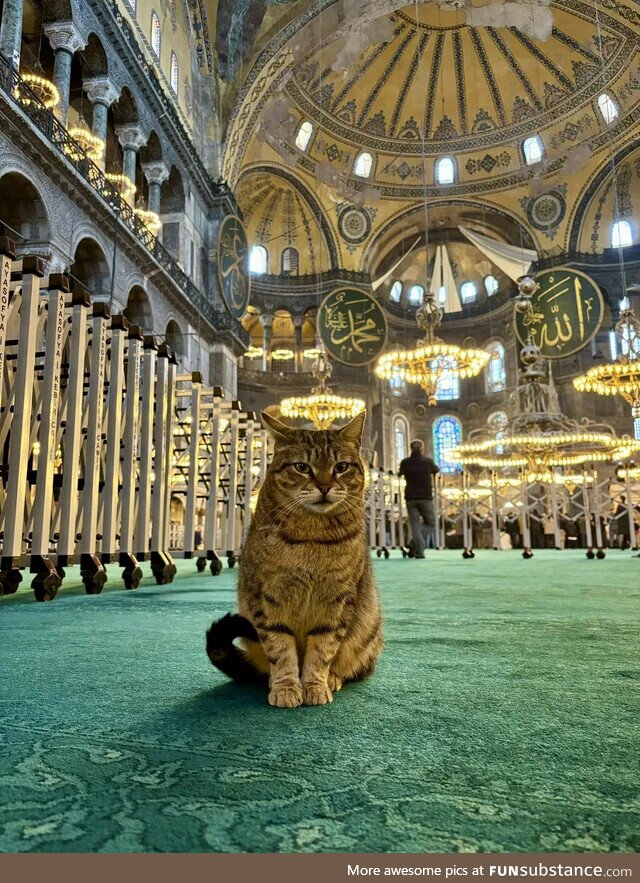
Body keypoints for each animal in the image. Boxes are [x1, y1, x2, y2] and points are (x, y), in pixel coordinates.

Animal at [208, 410, 382, 708]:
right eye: (302, 467)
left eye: (341, 467)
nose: (324, 486)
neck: (311, 536)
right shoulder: (266, 598)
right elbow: (280, 650)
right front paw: (287, 687)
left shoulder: (337, 601)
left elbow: (323, 650)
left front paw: (315, 684)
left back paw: (333, 677)